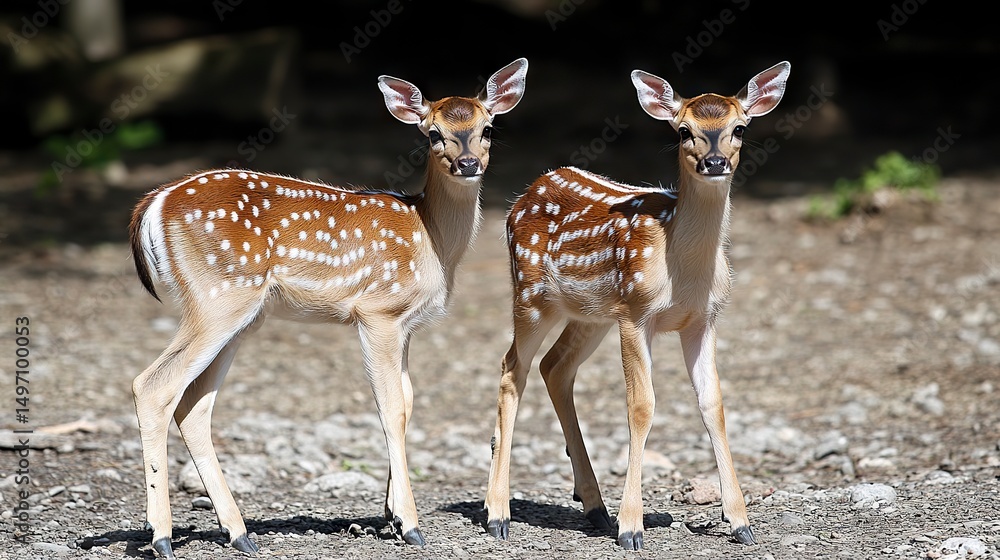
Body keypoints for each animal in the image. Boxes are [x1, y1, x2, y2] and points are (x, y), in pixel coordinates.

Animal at [128, 57, 528, 559]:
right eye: (432, 133)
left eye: (488, 127)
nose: (468, 163)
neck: (431, 237)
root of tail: (152, 203)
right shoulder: (377, 311)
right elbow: (391, 408)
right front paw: (410, 524)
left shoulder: (406, 324)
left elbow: (408, 401)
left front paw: (390, 514)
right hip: (219, 296)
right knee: (152, 385)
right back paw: (162, 535)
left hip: (240, 315)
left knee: (193, 406)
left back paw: (238, 532)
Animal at [484, 61, 790, 550]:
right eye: (684, 131)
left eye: (740, 127)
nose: (715, 162)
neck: (684, 271)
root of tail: (527, 192)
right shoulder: (635, 314)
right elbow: (641, 407)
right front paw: (632, 527)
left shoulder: (704, 320)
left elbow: (714, 405)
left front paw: (741, 521)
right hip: (531, 295)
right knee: (513, 369)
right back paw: (499, 515)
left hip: (590, 314)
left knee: (555, 366)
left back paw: (593, 506)